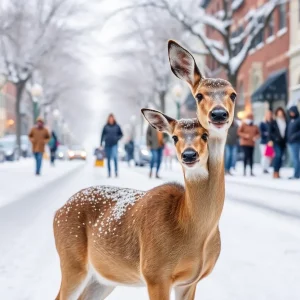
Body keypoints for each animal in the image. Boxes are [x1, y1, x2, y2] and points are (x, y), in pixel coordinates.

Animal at [54, 40, 237, 300]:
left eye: (233, 94)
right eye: (199, 95)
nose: (219, 114)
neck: (192, 229)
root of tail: (58, 211)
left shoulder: (190, 281)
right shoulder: (155, 272)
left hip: (102, 278)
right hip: (71, 260)